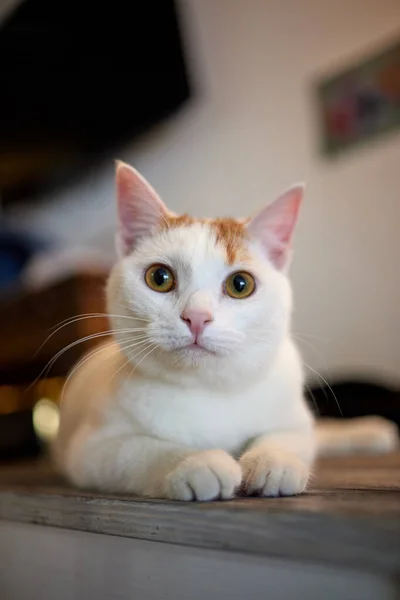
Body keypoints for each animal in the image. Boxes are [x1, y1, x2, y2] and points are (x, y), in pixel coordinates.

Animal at [52, 162, 396, 500]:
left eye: (240, 285)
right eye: (159, 277)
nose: (196, 317)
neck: (209, 390)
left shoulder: (293, 420)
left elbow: (289, 436)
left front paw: (274, 461)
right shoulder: (91, 449)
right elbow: (142, 451)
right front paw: (197, 462)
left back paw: (372, 432)